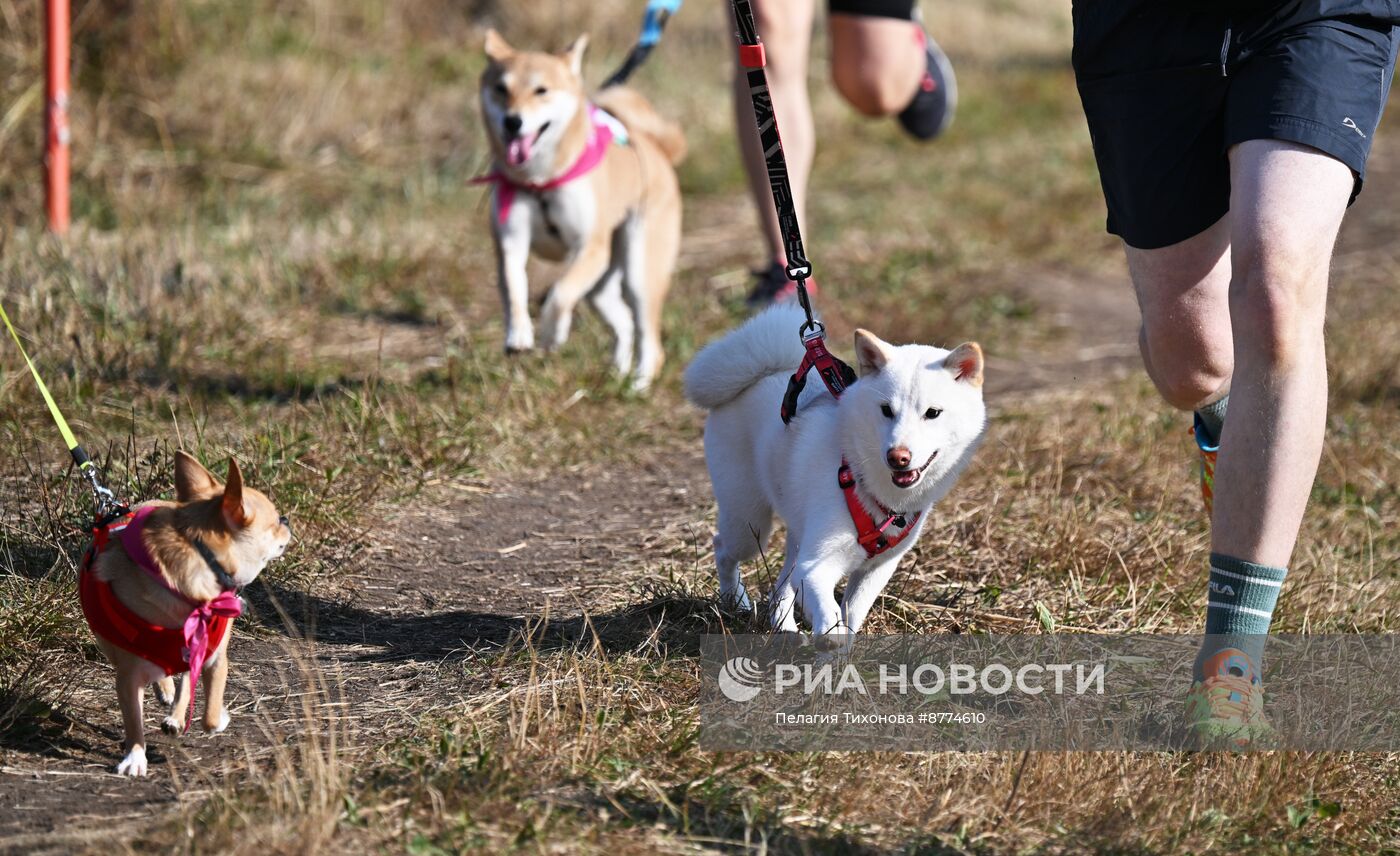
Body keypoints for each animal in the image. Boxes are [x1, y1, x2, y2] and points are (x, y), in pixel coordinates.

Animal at [85, 456, 292, 778]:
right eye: (277, 521)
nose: (288, 520)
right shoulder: (128, 675)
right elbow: (133, 720)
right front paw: (135, 757)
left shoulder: (215, 657)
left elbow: (209, 714)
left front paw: (219, 717)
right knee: (167, 677)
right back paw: (166, 694)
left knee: (185, 681)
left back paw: (175, 715)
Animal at [478, 30, 686, 389]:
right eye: (501, 89)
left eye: (541, 90)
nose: (512, 121)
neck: (540, 182)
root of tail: (656, 148)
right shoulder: (510, 242)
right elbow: (515, 285)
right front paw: (518, 335)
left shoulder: (589, 248)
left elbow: (560, 293)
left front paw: (551, 333)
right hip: (600, 286)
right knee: (624, 322)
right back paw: (617, 373)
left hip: (639, 271)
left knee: (650, 337)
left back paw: (639, 385)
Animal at [683, 305, 991, 638]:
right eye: (886, 410)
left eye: (933, 413)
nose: (897, 457)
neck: (862, 477)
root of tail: (759, 373)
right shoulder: (816, 565)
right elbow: (830, 612)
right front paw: (830, 641)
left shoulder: (877, 569)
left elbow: (852, 613)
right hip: (749, 524)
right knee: (723, 548)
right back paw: (735, 600)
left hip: (796, 533)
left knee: (781, 586)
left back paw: (785, 629)